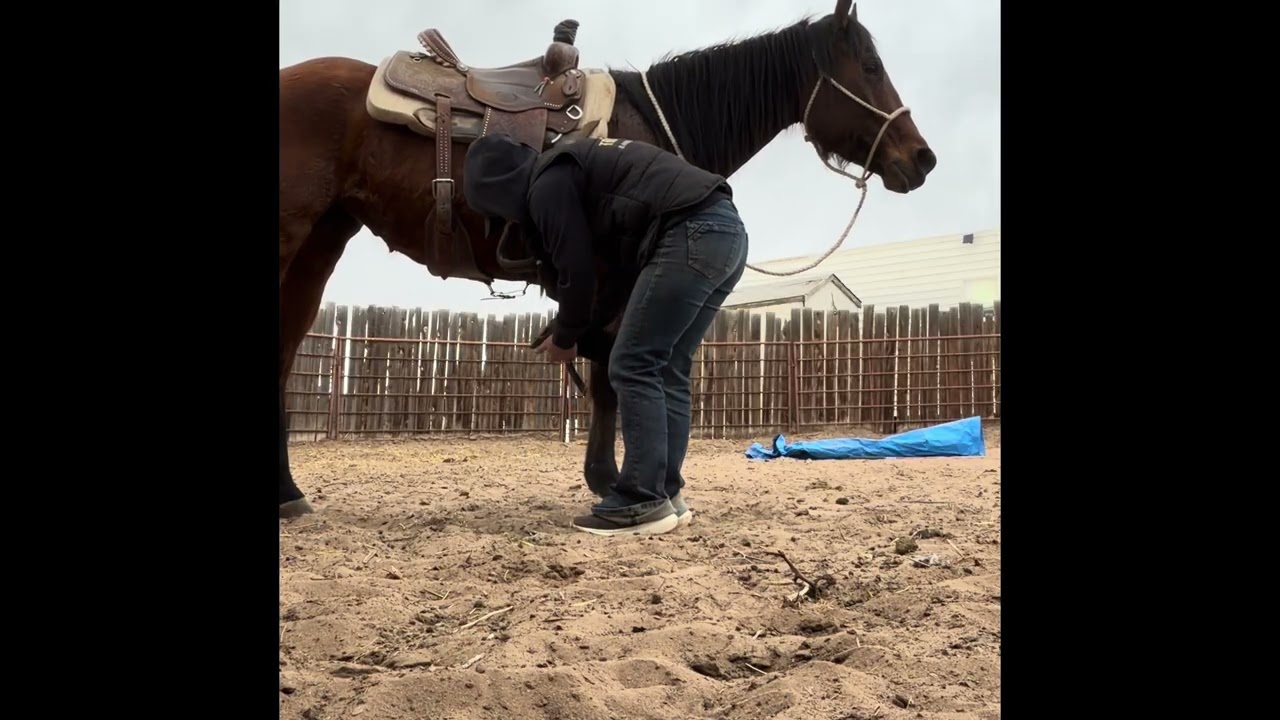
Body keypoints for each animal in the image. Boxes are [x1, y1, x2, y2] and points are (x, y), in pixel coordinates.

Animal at [279, 0, 936, 517]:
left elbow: (605, 378)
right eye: (870, 67)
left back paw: (290, 495)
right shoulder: (610, 281)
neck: (651, 123)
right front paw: (612, 481)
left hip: (320, 246)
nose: (922, 158)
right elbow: (608, 383)